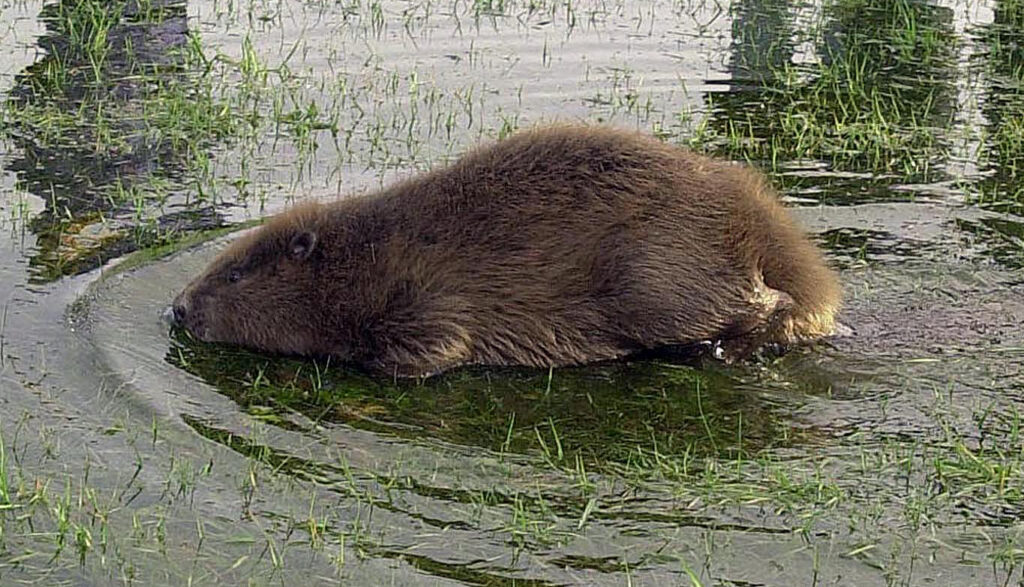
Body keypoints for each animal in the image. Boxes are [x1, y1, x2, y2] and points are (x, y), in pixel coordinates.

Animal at [167, 126, 839, 376]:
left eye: (235, 275)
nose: (177, 307)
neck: (372, 253)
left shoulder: (429, 298)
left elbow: (428, 351)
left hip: (659, 280)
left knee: (756, 305)